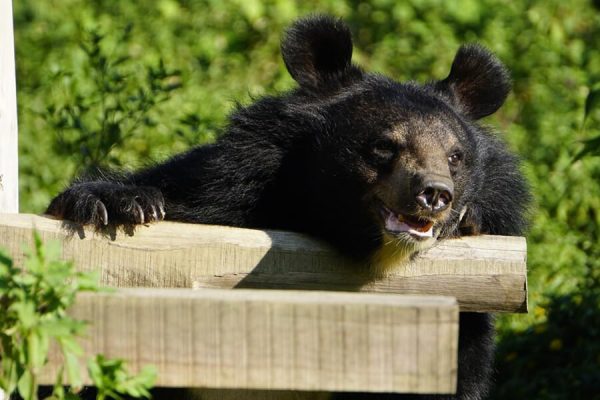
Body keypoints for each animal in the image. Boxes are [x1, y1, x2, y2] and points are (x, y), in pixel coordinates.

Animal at [49, 14, 532, 396]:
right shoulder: (229, 184)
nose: (434, 194)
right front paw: (117, 204)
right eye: (383, 146)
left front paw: (470, 220)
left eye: (455, 157)